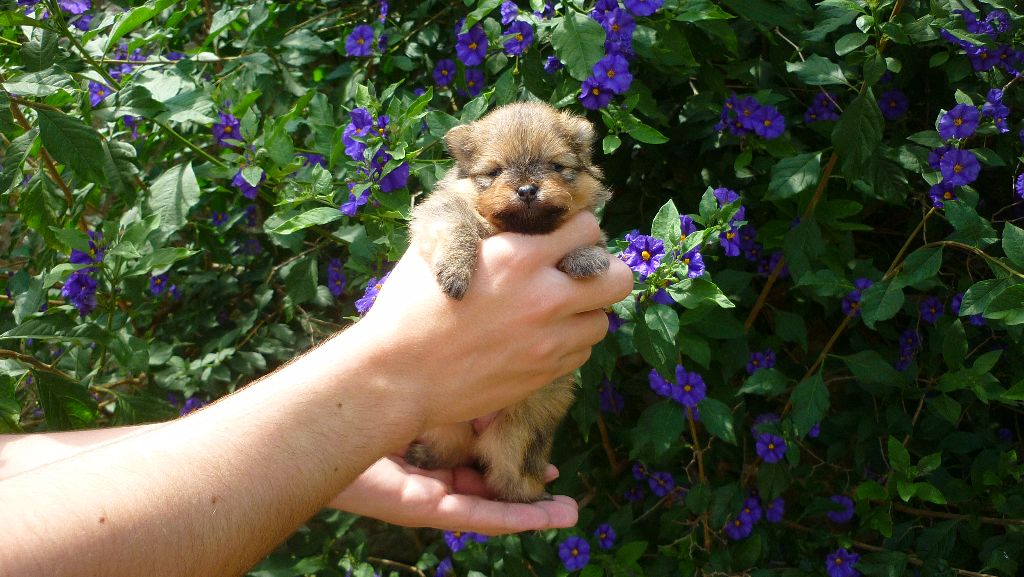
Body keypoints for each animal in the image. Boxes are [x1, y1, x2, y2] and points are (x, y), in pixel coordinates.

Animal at [405, 101, 610, 504]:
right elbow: (459, 225)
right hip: (445, 424)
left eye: (555, 166)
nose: (528, 189)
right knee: (453, 450)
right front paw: (456, 270)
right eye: (495, 172)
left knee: (508, 474)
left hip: (516, 437)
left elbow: (591, 245)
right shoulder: (440, 213)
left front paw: (584, 257)